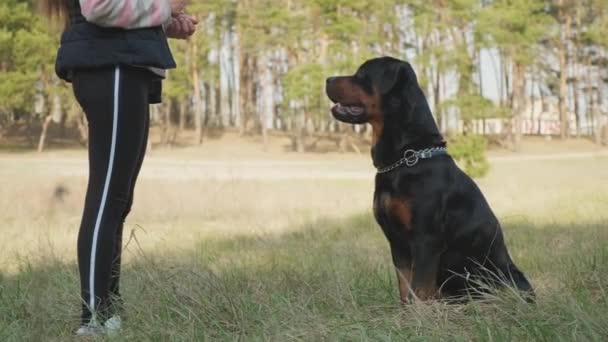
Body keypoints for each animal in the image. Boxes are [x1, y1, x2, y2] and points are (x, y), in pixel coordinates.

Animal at [328, 57, 532, 304]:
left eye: (362, 73)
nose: (327, 79)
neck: (406, 158)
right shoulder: (397, 244)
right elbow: (405, 289)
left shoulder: (425, 239)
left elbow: (419, 289)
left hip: (505, 276)